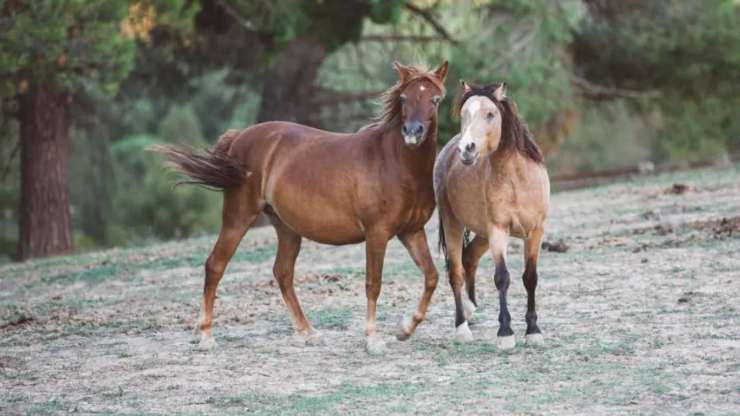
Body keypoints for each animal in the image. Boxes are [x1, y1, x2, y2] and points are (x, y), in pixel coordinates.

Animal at [159, 61, 448, 354]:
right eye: (403, 98)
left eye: (435, 100)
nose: (412, 132)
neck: (393, 162)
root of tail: (240, 137)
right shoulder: (377, 234)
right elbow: (373, 283)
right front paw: (373, 339)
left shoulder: (411, 231)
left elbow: (432, 277)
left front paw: (405, 329)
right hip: (238, 218)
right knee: (216, 265)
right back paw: (205, 334)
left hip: (287, 228)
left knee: (283, 273)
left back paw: (307, 331)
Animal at [434, 80, 548, 348]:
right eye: (464, 114)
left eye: (490, 114)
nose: (467, 149)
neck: (518, 180)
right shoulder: (498, 231)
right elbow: (502, 278)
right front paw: (505, 333)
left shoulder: (535, 232)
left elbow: (530, 277)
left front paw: (533, 331)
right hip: (454, 224)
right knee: (456, 272)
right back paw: (462, 327)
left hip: (482, 233)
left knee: (469, 258)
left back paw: (470, 309)